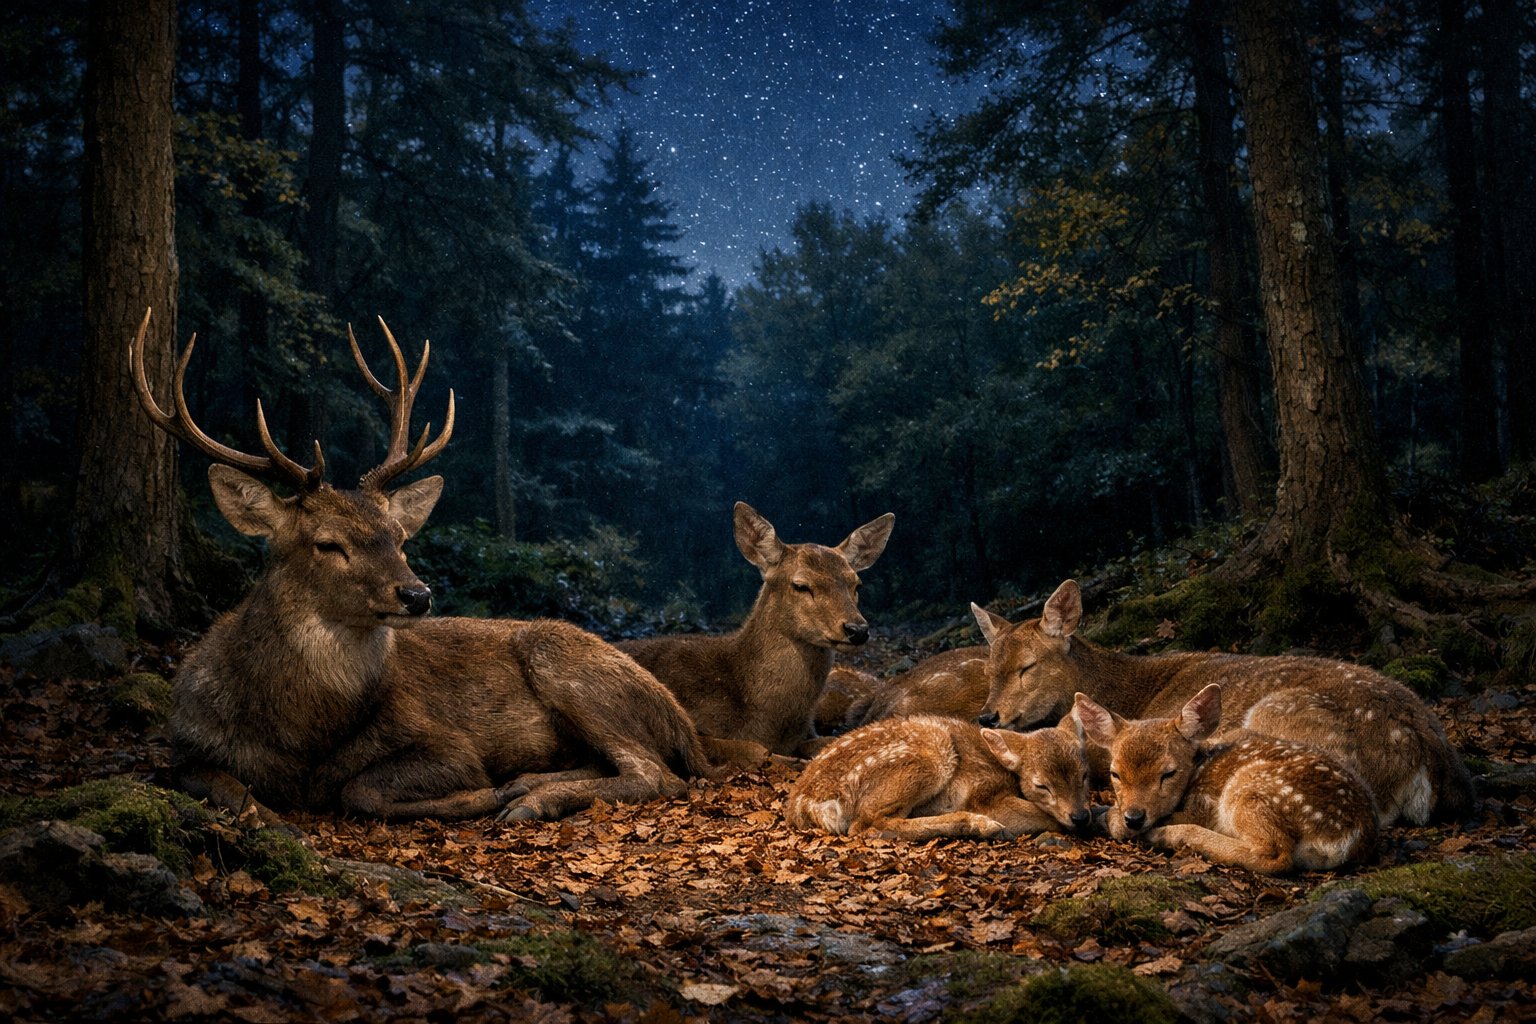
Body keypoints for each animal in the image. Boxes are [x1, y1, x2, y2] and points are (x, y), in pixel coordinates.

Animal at [129, 308, 715, 825]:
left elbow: (360, 790)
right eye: (327, 543)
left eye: (400, 539)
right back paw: (530, 783)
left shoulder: (441, 740)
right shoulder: (186, 739)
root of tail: (681, 721)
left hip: (560, 656)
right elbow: (218, 784)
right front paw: (263, 814)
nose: (417, 595)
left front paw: (485, 793)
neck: (298, 736)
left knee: (659, 774)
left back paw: (530, 798)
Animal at [784, 712, 1092, 841]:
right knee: (866, 825)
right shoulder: (984, 792)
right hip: (932, 755)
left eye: (1085, 775)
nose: (1080, 816)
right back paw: (981, 826)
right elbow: (1042, 816)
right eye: (1042, 785)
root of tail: (804, 803)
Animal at [972, 579, 1478, 827]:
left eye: (1027, 667)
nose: (987, 715)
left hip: (1277, 719)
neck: (1127, 689)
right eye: (989, 668)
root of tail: (1429, 767)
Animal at [1075, 686, 1379, 874]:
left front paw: (1111, 820)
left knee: (1274, 855)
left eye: (1168, 772)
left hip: (1250, 789)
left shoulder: (1200, 806)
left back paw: (1167, 836)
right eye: (1115, 773)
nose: (1134, 817)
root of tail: (1350, 836)